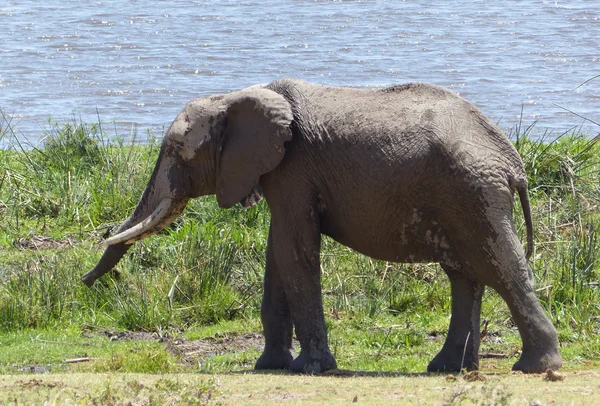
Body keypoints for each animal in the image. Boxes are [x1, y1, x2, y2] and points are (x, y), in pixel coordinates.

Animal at [83, 78, 564, 374]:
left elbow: (295, 251)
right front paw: (270, 365)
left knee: (501, 268)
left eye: (175, 149)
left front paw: (311, 369)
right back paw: (449, 367)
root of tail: (512, 161)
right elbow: (278, 254)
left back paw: (537, 367)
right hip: (463, 197)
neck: (240, 95)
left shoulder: (294, 169)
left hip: (473, 193)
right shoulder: (280, 174)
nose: (86, 282)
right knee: (465, 275)